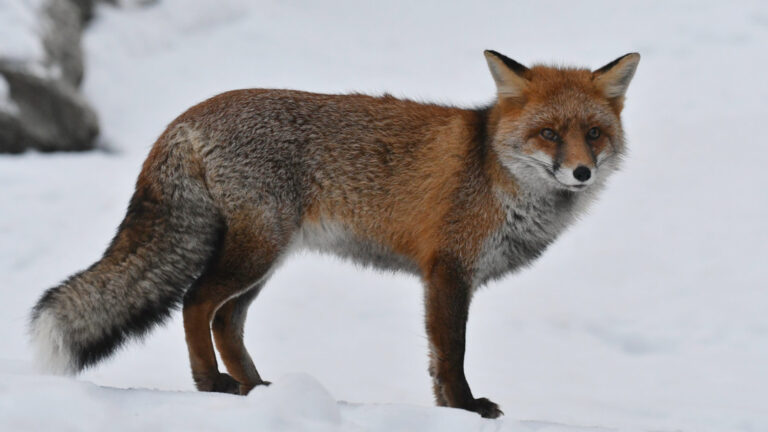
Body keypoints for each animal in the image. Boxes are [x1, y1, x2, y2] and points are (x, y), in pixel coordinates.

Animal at [30, 50, 640, 418]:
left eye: (593, 134)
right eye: (548, 134)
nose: (582, 173)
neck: (493, 171)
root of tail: (186, 118)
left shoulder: (444, 275)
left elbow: (438, 360)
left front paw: (448, 412)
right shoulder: (447, 269)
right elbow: (451, 353)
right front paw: (465, 411)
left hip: (264, 259)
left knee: (226, 319)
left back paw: (258, 390)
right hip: (256, 252)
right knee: (195, 303)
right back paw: (211, 385)